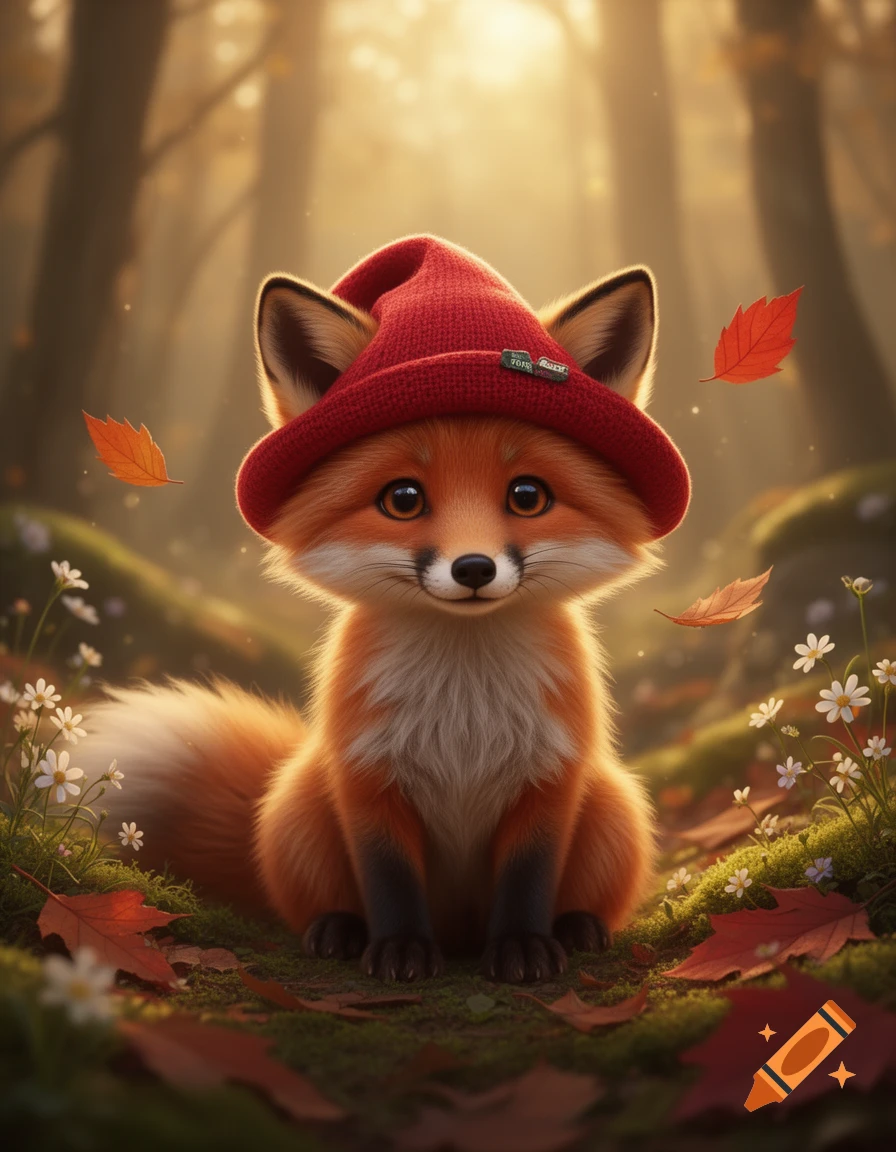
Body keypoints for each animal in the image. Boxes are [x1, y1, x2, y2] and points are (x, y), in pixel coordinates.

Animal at [79, 236, 689, 984]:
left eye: (527, 495)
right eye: (403, 498)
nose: (474, 569)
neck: (465, 711)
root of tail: (461, 929)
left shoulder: (550, 781)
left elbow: (529, 880)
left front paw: (522, 945)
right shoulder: (368, 781)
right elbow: (389, 881)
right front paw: (398, 949)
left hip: (612, 803)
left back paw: (576, 927)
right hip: (301, 802)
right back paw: (338, 930)